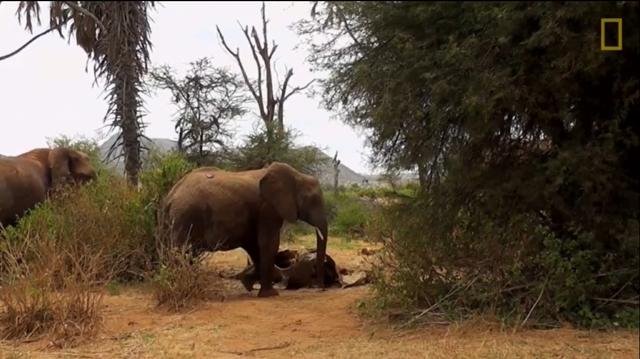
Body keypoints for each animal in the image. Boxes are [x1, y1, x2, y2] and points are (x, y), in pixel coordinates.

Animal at [160, 162, 330, 298]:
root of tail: (170, 196)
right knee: (181, 252)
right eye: (313, 201)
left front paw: (253, 283)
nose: (320, 288)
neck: (296, 175)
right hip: (185, 216)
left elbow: (255, 246)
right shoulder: (268, 208)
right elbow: (269, 243)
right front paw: (270, 294)